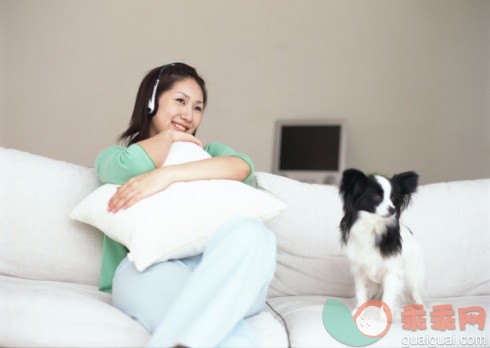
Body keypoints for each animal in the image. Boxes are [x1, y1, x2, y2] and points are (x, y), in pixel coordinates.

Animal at [338, 170, 424, 316]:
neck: (373, 226)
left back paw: (420, 306)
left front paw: (383, 318)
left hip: (411, 274)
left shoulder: (391, 273)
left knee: (415, 291)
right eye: (376, 197)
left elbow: (388, 299)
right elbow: (361, 295)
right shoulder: (360, 273)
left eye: (394, 199)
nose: (393, 209)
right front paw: (358, 312)